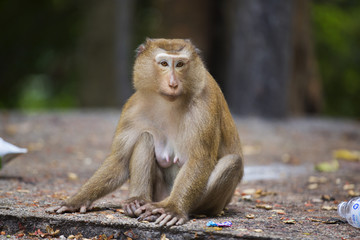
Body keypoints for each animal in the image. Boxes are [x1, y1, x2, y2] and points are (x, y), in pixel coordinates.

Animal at [46, 38, 243, 227]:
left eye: (180, 64)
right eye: (164, 63)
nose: (173, 83)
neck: (170, 104)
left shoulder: (204, 105)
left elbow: (200, 159)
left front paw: (173, 209)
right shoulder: (133, 109)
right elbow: (119, 160)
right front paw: (75, 201)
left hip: (203, 203)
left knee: (232, 162)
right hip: (158, 192)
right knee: (145, 137)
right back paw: (137, 200)